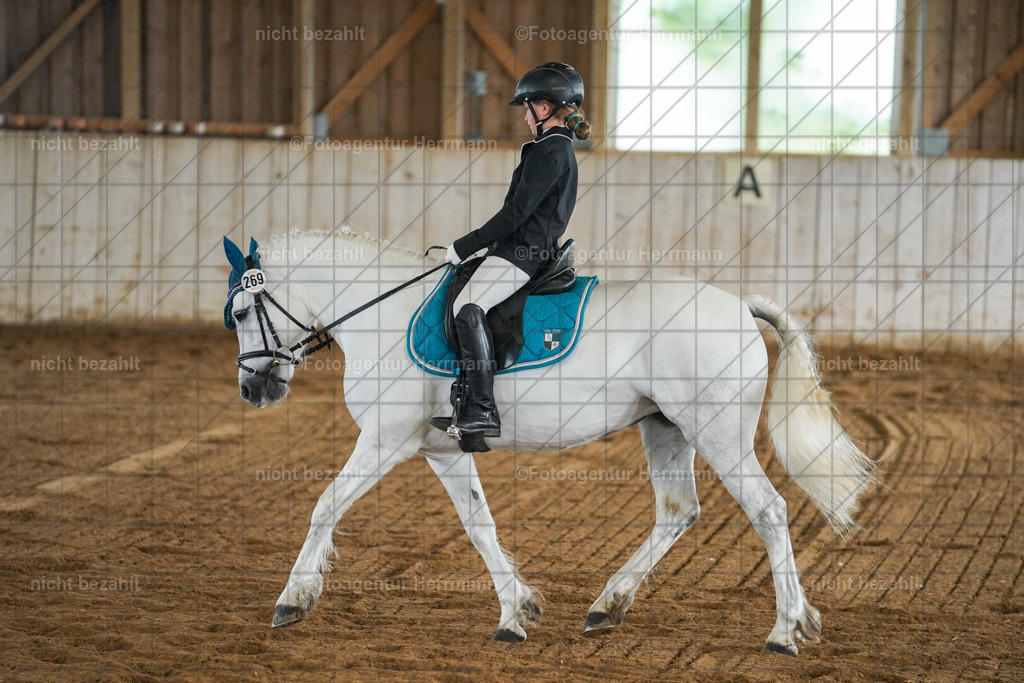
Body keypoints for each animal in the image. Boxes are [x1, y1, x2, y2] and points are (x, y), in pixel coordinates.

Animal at [224, 227, 876, 654]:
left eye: (239, 313)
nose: (254, 389)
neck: (380, 314)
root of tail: (739, 307)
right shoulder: (442, 452)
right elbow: (480, 526)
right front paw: (515, 613)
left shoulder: (384, 442)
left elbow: (324, 506)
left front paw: (292, 601)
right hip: (666, 428)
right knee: (678, 511)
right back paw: (608, 606)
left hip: (718, 433)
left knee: (769, 510)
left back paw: (784, 631)